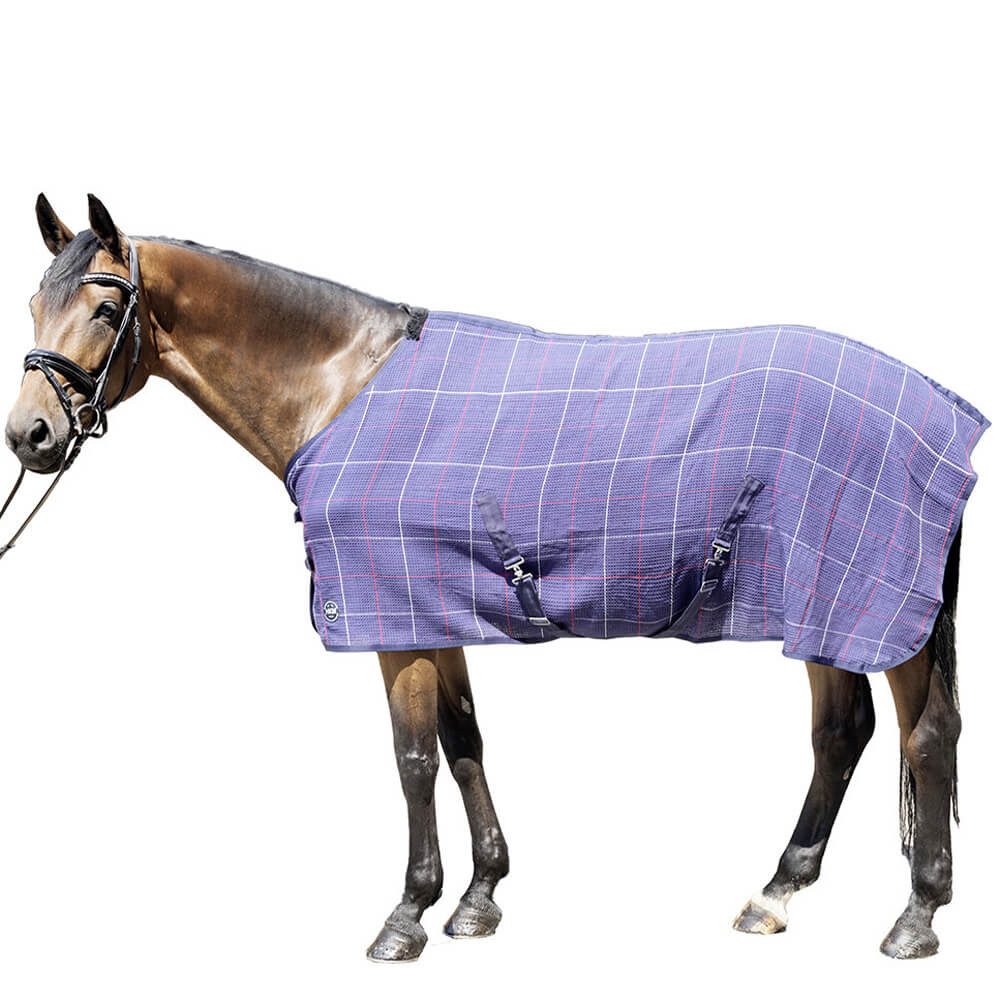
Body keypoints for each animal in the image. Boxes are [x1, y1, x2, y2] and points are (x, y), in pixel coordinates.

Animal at [4, 194, 986, 963]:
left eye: (106, 310)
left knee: (926, 735)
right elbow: (465, 742)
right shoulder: (439, 611)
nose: (30, 436)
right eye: (32, 303)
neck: (341, 386)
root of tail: (941, 413)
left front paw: (405, 915)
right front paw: (478, 899)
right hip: (824, 606)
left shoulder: (391, 617)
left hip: (867, 607)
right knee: (843, 735)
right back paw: (775, 894)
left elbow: (411, 759)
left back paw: (915, 917)